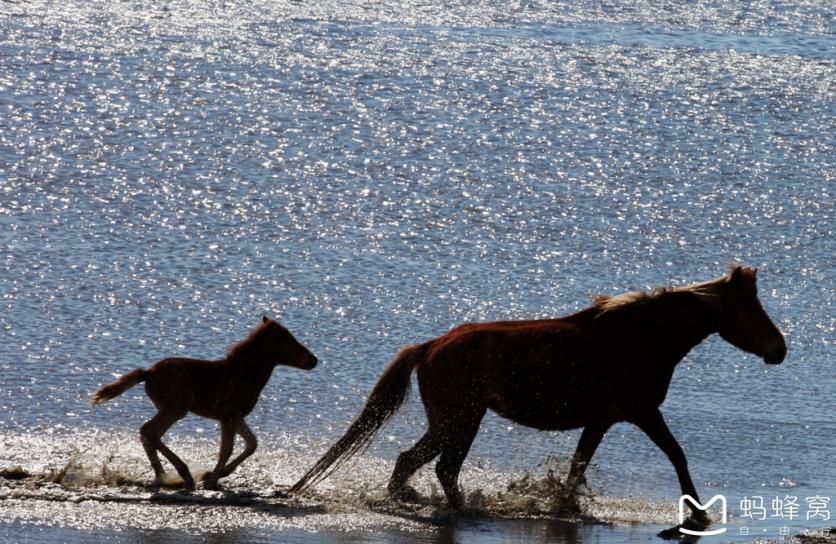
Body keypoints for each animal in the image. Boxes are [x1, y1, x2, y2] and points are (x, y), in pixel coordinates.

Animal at [90, 314, 316, 488]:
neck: (245, 375)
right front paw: (211, 480)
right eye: (289, 340)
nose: (314, 360)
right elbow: (227, 448)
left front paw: (218, 474)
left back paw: (164, 476)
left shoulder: (236, 416)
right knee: (148, 431)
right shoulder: (228, 415)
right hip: (176, 409)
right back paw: (182, 474)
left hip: (171, 409)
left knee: (150, 434)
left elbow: (252, 443)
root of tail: (149, 373)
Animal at [290, 266, 788, 536]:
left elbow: (577, 468)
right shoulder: (643, 413)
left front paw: (563, 506)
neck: (641, 338)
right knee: (439, 466)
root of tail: (430, 346)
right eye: (751, 309)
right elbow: (677, 455)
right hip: (461, 419)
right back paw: (458, 507)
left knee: (415, 462)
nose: (779, 350)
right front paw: (698, 512)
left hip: (453, 420)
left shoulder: (602, 420)